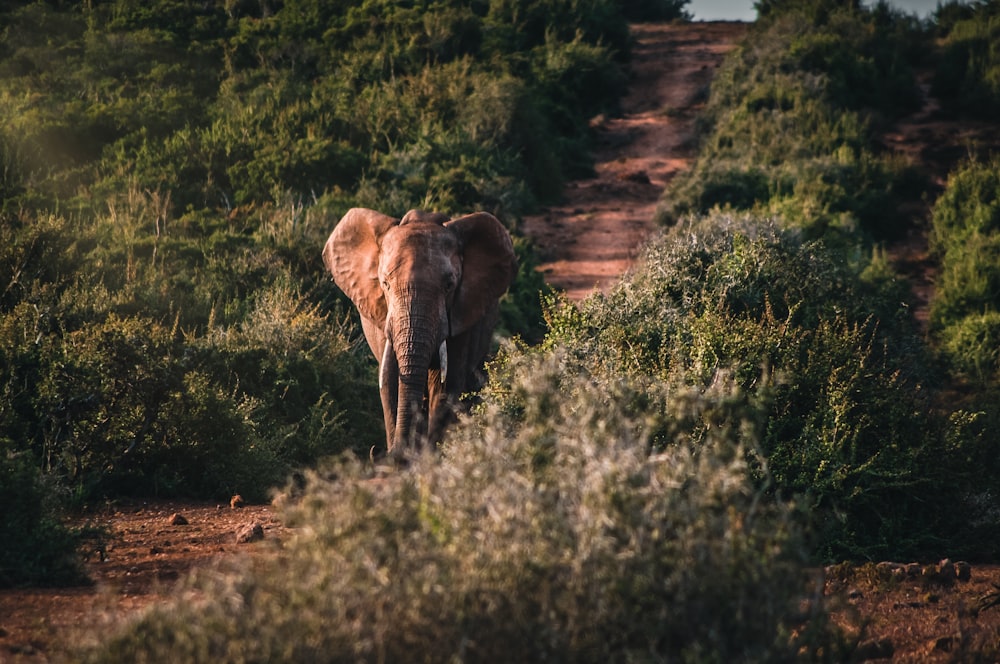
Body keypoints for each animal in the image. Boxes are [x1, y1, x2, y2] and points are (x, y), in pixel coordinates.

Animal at [326, 208, 520, 462]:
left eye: (449, 285)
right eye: (385, 284)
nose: (379, 452)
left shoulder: (461, 317)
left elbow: (446, 385)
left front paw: (429, 459)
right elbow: (389, 381)